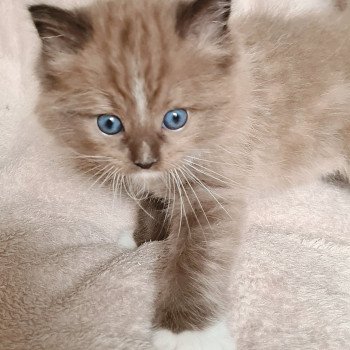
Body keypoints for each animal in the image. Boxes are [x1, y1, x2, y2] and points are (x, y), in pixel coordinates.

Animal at [30, 1, 350, 348]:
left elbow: (195, 257)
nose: (145, 161)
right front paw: (143, 240)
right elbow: (152, 204)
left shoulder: (214, 188)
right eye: (109, 124)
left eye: (175, 118)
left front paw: (188, 332)